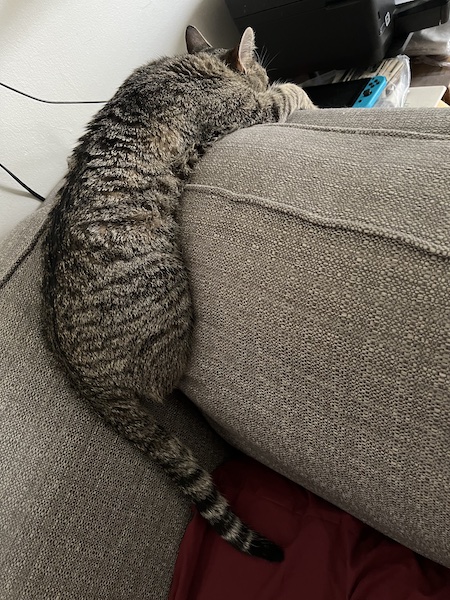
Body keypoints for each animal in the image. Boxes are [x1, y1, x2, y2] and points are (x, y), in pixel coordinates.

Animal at [43, 25, 316, 564]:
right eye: (263, 70)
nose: (265, 74)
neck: (194, 67)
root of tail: (79, 376)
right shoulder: (248, 112)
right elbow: (284, 96)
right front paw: (305, 93)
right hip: (173, 305)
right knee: (166, 381)